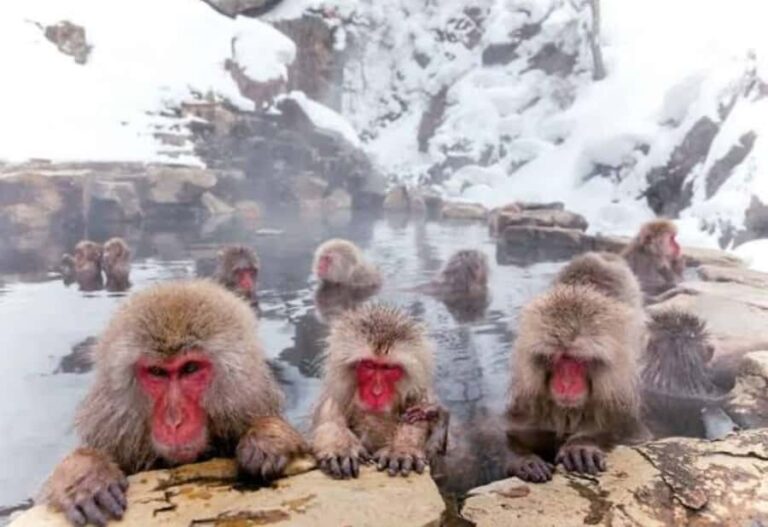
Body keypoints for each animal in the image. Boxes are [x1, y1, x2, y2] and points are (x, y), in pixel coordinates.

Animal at [310, 304, 448, 479]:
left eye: (388, 368)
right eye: (369, 365)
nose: (376, 392)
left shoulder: (420, 396)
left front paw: (401, 449)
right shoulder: (334, 395)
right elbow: (329, 419)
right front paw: (340, 446)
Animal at [506, 285, 648, 482]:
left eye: (578, 359)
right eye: (558, 358)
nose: (566, 384)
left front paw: (581, 446)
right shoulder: (527, 407)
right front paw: (523, 460)